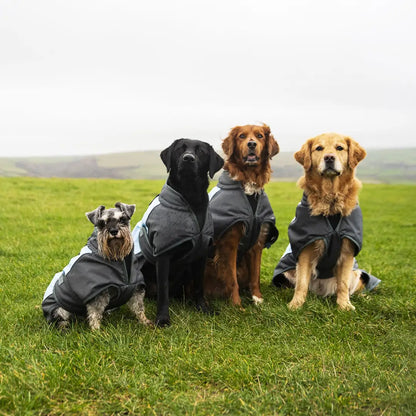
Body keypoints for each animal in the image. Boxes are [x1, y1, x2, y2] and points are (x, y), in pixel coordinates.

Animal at [205, 123, 280, 306]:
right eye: (241, 136)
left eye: (260, 136)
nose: (251, 144)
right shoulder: (229, 243)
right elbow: (232, 279)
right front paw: (237, 305)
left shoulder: (258, 241)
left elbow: (255, 275)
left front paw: (257, 299)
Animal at [272, 132, 378, 310]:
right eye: (319, 148)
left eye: (339, 147)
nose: (329, 158)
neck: (330, 201)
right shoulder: (305, 250)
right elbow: (301, 283)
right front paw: (296, 304)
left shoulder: (348, 251)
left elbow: (343, 284)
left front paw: (344, 305)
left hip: (356, 273)